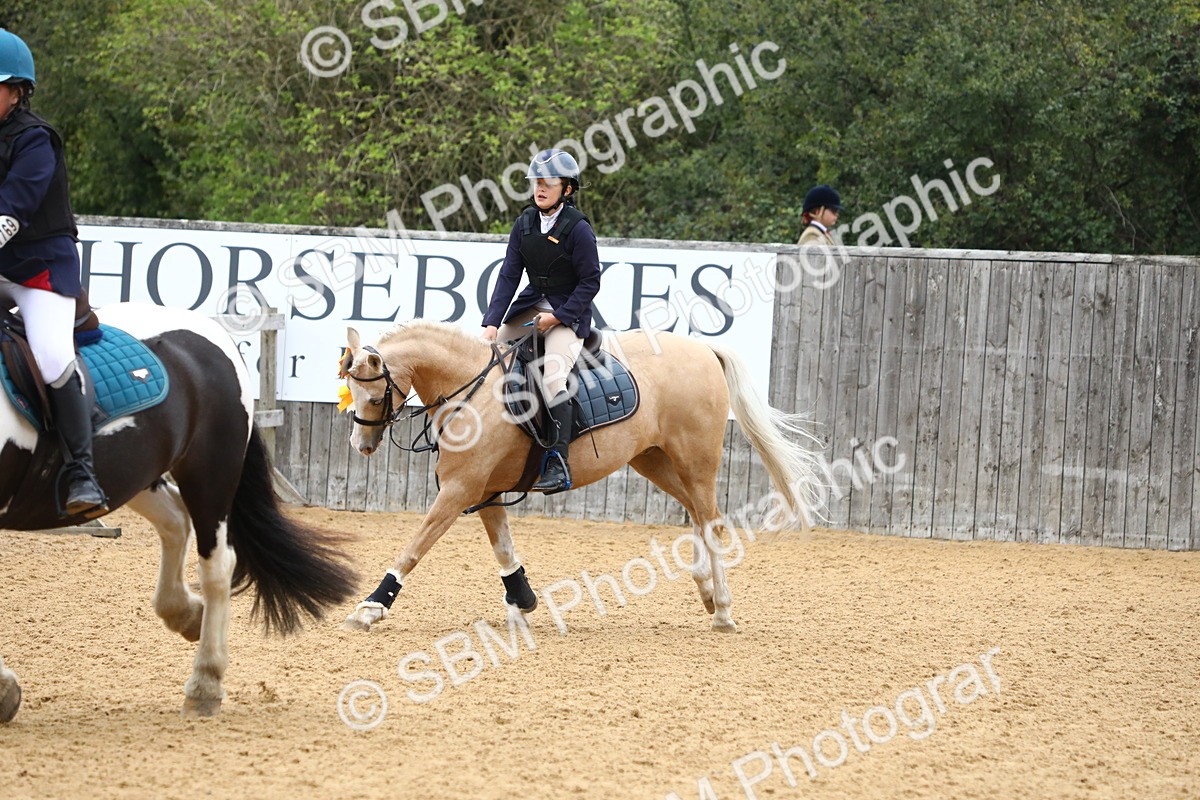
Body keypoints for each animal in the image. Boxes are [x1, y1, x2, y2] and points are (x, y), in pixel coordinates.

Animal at [0, 291, 357, 722]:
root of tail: (213, 333)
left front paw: (3, 690)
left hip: (208, 475)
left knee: (216, 564)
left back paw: (205, 683)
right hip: (134, 475)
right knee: (174, 522)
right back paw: (187, 615)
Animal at [339, 319, 825, 634]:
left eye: (374, 394)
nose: (360, 445)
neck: (473, 391)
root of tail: (705, 349)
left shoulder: (461, 489)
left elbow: (415, 546)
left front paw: (371, 606)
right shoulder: (485, 490)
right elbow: (503, 549)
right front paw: (523, 601)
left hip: (695, 459)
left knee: (711, 522)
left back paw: (722, 610)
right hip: (655, 460)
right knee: (700, 516)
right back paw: (705, 589)